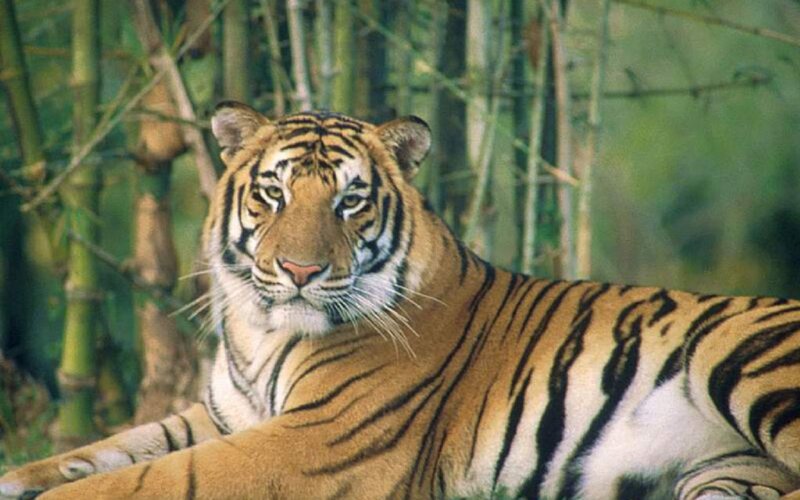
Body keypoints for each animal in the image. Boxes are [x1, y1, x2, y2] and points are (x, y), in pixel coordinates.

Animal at [2, 101, 800, 500]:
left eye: (350, 201)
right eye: (274, 192)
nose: (298, 269)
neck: (261, 331)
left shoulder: (317, 439)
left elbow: (155, 477)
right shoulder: (221, 415)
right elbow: (112, 449)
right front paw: (20, 477)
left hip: (749, 367)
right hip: (722, 480)